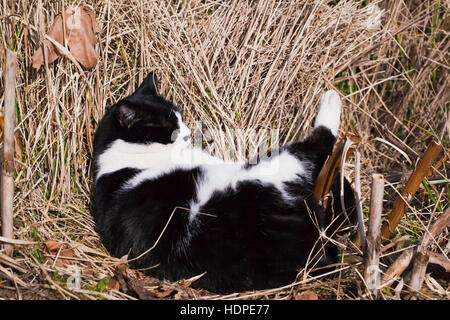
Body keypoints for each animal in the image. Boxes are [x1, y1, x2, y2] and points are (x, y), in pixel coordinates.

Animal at [91, 73, 356, 296]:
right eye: (171, 128)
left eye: (180, 116)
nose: (188, 132)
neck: (122, 156)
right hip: (276, 169)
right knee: (318, 143)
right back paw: (331, 100)